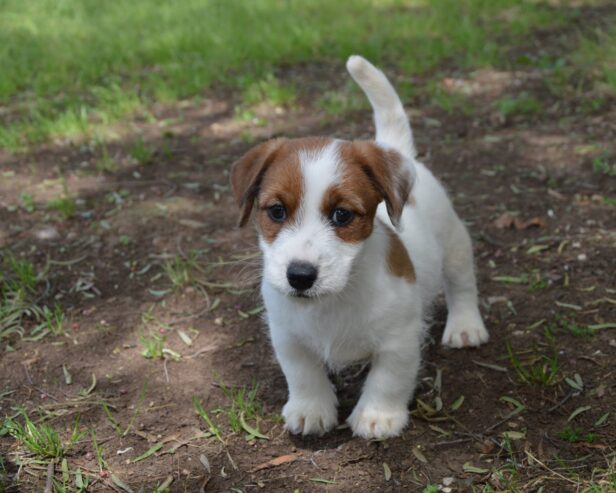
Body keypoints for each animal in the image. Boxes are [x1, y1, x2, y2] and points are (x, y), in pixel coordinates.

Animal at [229, 54, 488, 438]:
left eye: (342, 215)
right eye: (276, 211)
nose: (300, 276)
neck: (335, 300)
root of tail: (398, 151)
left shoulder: (399, 339)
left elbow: (389, 378)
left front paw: (378, 415)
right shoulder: (287, 336)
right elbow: (302, 374)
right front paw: (310, 409)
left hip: (455, 244)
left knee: (462, 284)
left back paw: (466, 326)